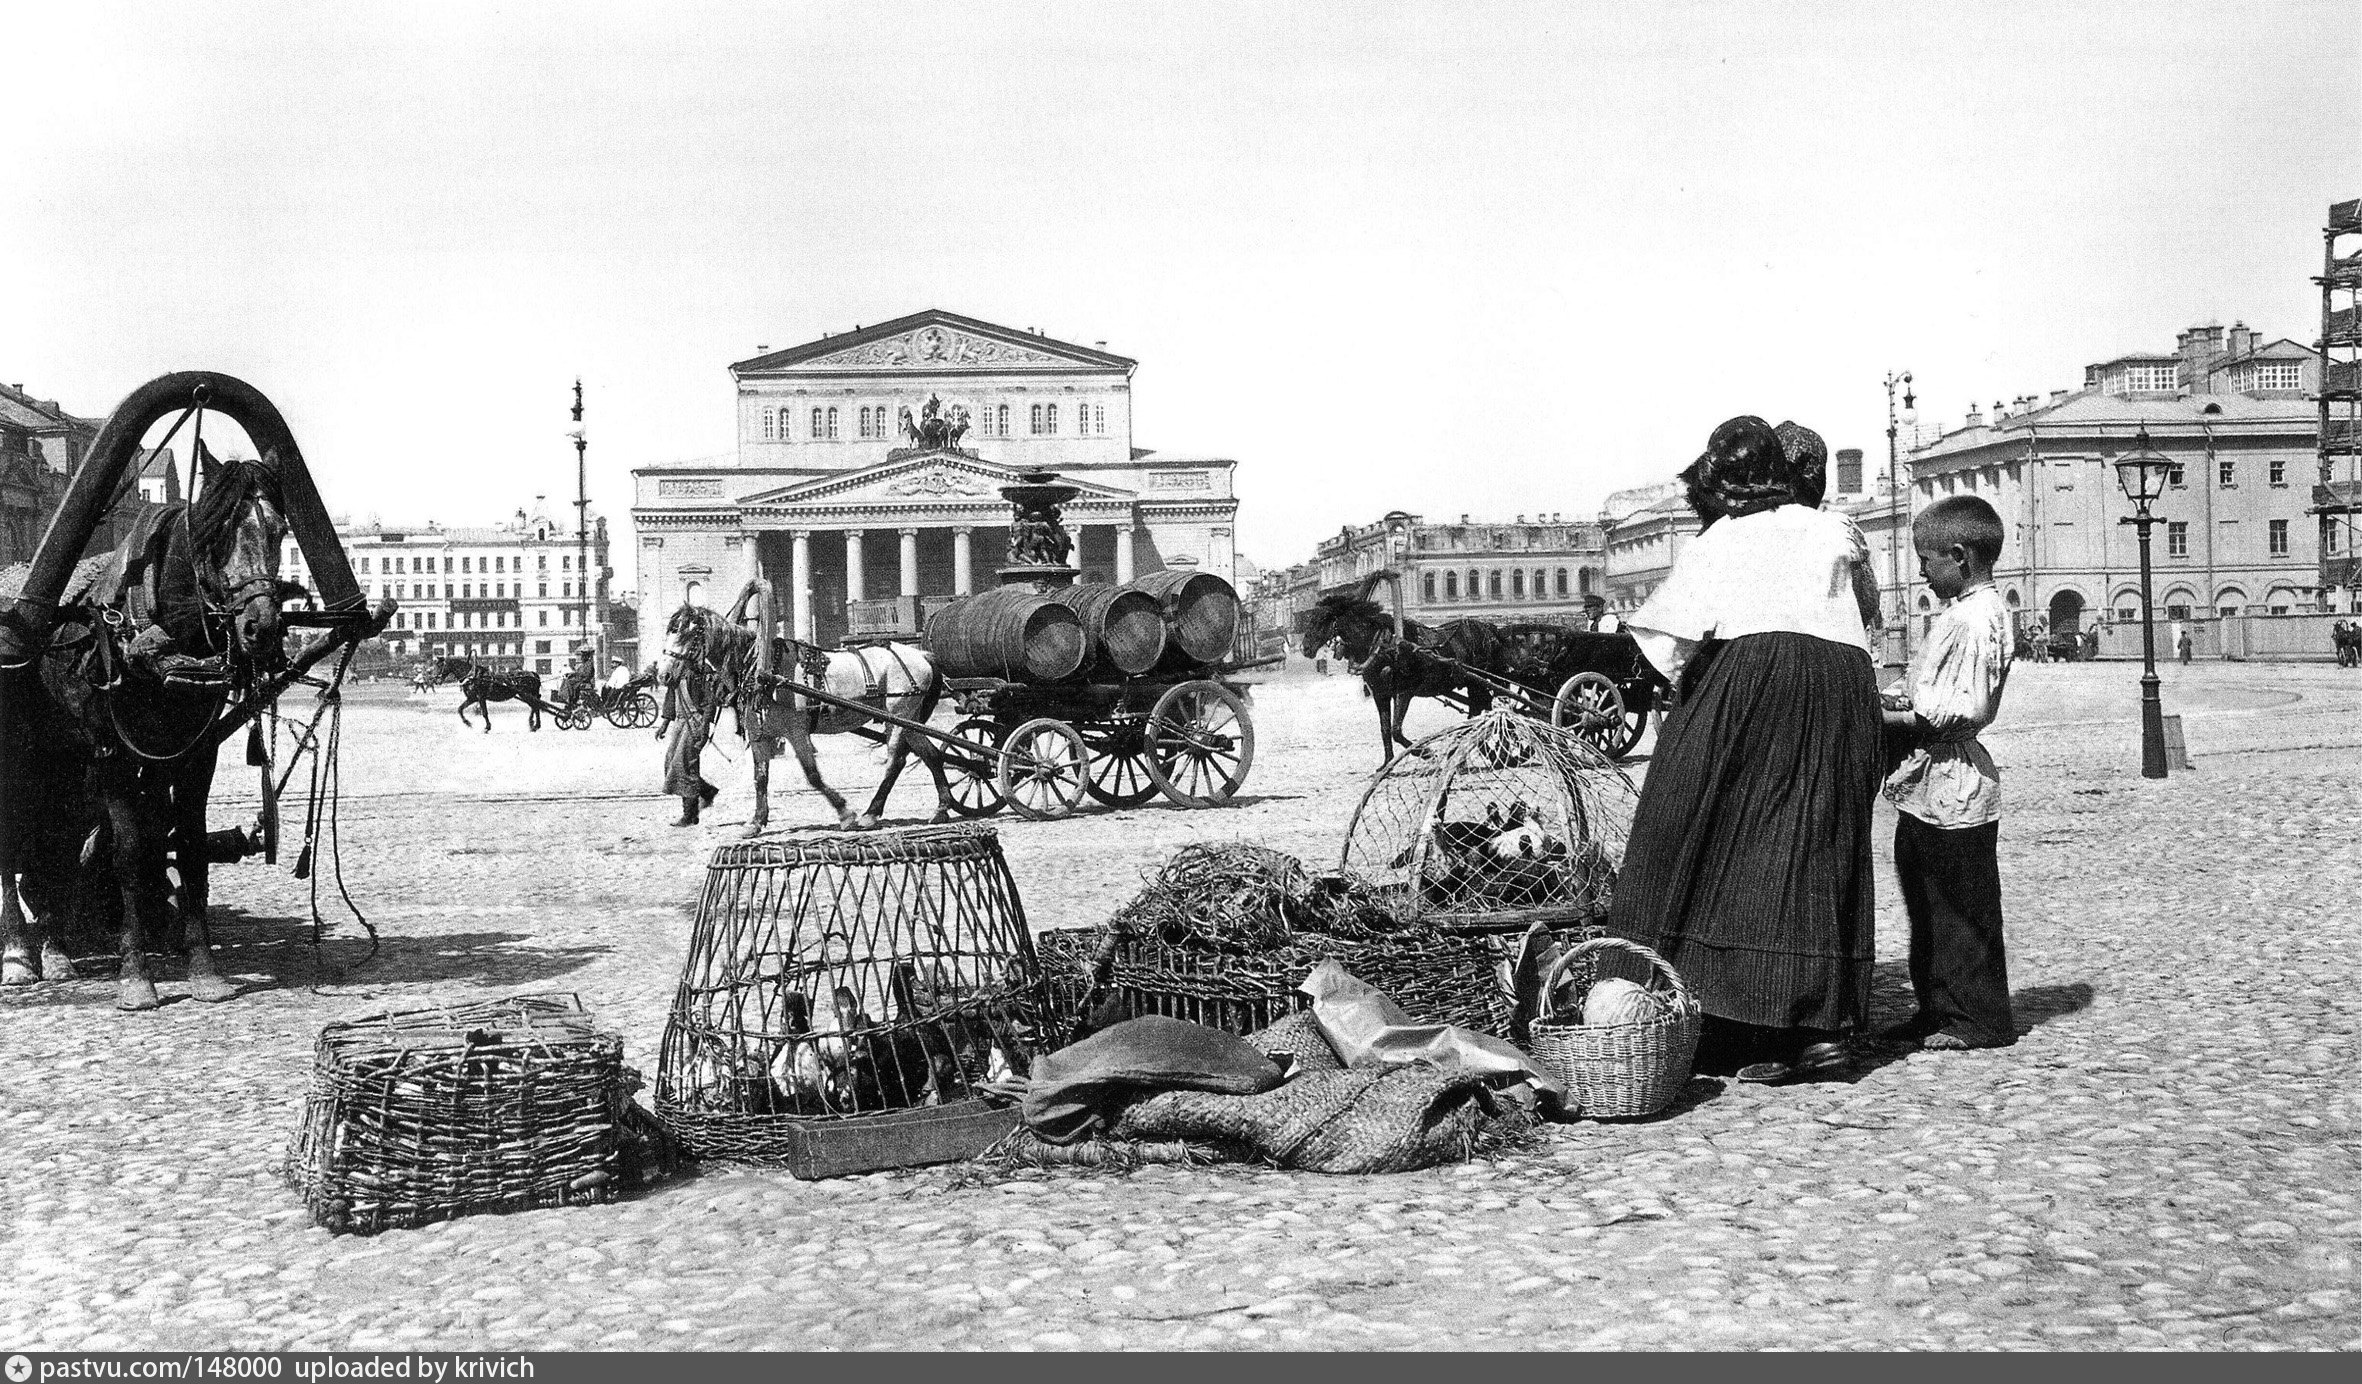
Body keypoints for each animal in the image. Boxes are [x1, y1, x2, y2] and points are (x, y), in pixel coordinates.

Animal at [1, 448, 295, 1001]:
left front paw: (202, 967)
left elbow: (187, 846)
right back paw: (17, 953)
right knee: (13, 844)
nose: (260, 627)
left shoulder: (192, 753)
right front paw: (136, 976)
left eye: (279, 530)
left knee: (59, 845)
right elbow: (131, 853)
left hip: (64, 763)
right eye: (215, 533)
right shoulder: (112, 754)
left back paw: (57, 950)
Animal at [1294, 573, 1511, 760]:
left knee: (1482, 710)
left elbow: (1396, 731)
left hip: (1478, 682)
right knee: (1480, 709)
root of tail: (1490, 629)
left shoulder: (1404, 692)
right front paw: (1387, 763)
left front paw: (1426, 752)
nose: (1305, 647)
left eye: (1323, 619)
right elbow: (1385, 730)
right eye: (1310, 618)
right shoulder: (1380, 694)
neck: (1384, 647)